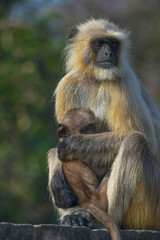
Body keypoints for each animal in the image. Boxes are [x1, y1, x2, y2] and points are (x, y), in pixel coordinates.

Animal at [57, 108, 120, 240]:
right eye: (85, 129)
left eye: (92, 126)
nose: (92, 134)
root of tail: (86, 202)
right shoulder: (81, 153)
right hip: (100, 199)